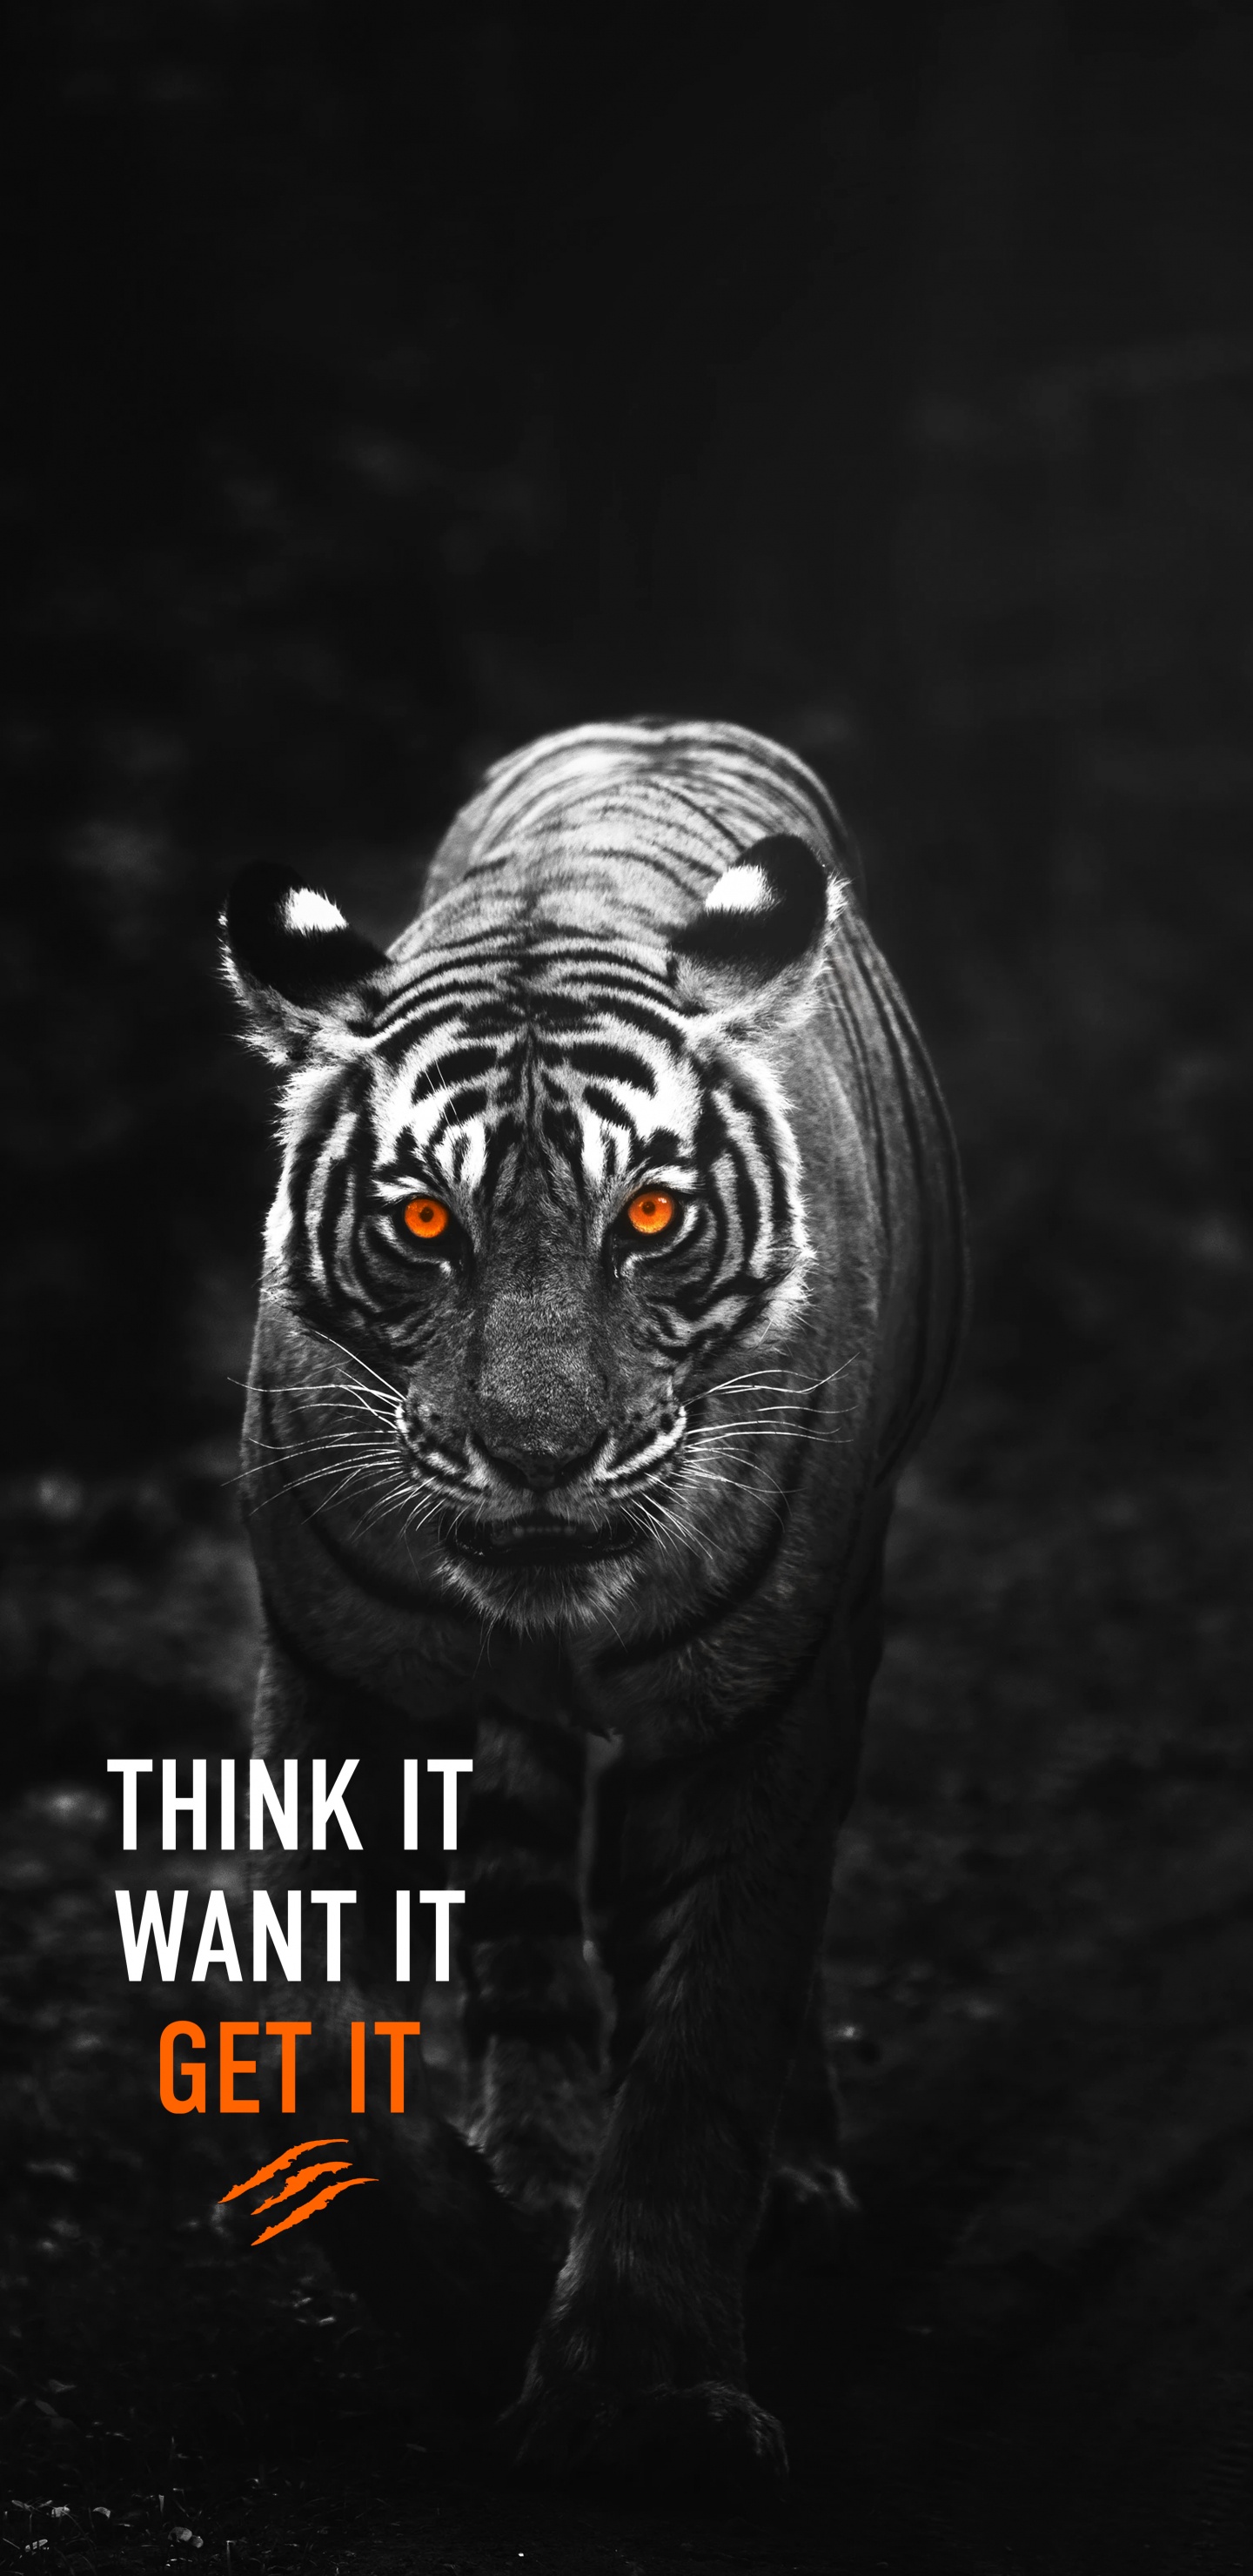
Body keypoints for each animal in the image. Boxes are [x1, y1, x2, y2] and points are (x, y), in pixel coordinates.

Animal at [222, 716, 967, 2497]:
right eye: (426, 1222)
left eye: (650, 1215)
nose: (540, 1456)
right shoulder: (333, 1677)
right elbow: (316, 2044)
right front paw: (471, 2294)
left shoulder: (766, 1707)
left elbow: (709, 2032)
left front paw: (640, 2392)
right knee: (518, 1893)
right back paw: (540, 2154)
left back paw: (787, 2183)